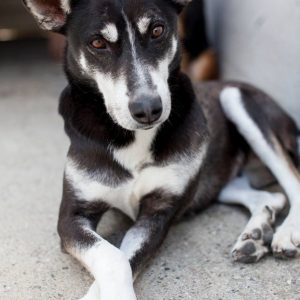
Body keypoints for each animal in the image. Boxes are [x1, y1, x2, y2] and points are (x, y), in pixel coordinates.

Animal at [24, 0, 300, 300]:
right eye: (97, 43)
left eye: (157, 30)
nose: (148, 109)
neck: (130, 137)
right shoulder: (72, 216)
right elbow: (113, 257)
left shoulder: (159, 213)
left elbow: (124, 258)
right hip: (216, 179)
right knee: (271, 197)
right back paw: (255, 236)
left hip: (236, 98)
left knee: (292, 183)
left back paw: (286, 233)